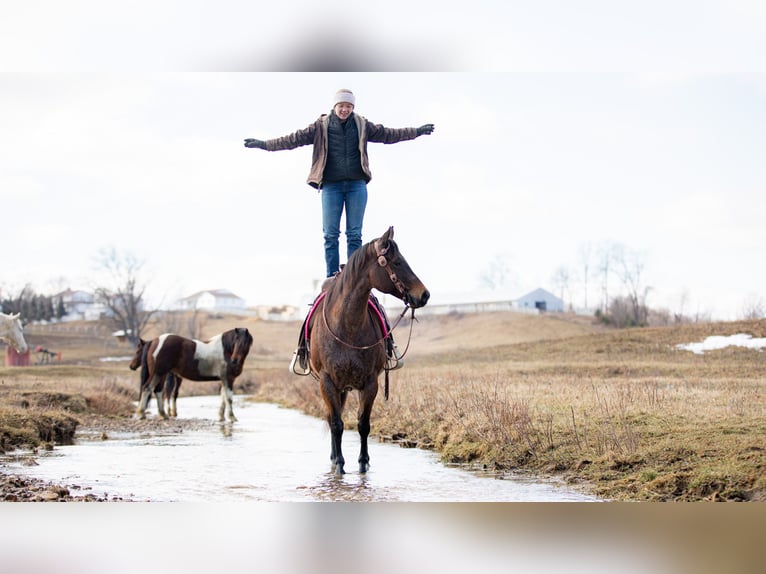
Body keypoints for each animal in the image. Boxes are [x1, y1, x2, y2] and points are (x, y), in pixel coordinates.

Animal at [312, 228, 432, 476]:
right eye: (397, 262)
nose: (424, 295)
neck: (347, 325)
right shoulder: (327, 382)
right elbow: (336, 424)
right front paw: (340, 464)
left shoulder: (370, 383)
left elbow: (363, 424)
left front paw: (363, 463)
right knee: (331, 418)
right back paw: (333, 457)